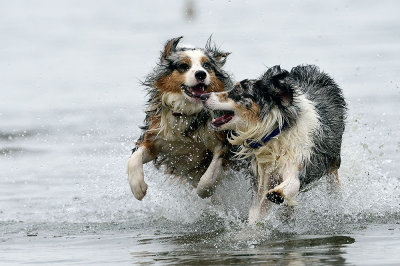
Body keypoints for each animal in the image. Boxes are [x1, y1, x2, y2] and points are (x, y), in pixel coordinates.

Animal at [128, 36, 233, 201]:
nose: (201, 74)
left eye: (206, 65)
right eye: (184, 66)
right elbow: (134, 157)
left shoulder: (223, 141)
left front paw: (204, 190)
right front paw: (137, 187)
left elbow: (208, 177)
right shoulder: (156, 138)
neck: (185, 114)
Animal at [203, 65, 346, 223]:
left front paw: (277, 193)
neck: (274, 132)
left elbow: (292, 182)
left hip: (333, 160)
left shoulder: (296, 160)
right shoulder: (262, 175)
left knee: (333, 181)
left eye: (237, 91)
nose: (203, 97)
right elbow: (257, 210)